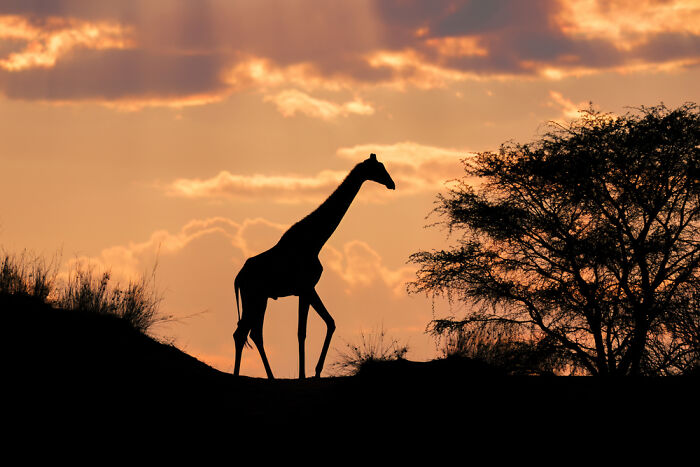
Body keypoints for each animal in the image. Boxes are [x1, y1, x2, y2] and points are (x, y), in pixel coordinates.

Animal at [233, 153, 395, 379]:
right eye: (379, 168)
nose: (392, 184)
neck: (315, 241)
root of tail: (238, 278)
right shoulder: (305, 288)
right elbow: (302, 332)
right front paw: (303, 374)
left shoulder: (309, 289)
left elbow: (329, 322)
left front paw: (316, 371)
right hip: (254, 296)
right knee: (244, 333)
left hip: (259, 298)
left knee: (251, 333)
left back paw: (263, 375)